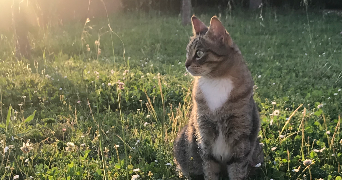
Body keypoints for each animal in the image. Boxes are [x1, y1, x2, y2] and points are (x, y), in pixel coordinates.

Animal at [174, 15, 264, 180]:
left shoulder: (240, 137)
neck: (215, 80)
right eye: (188, 52)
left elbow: (237, 169)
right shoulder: (204, 135)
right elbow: (209, 167)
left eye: (199, 53)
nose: (186, 64)